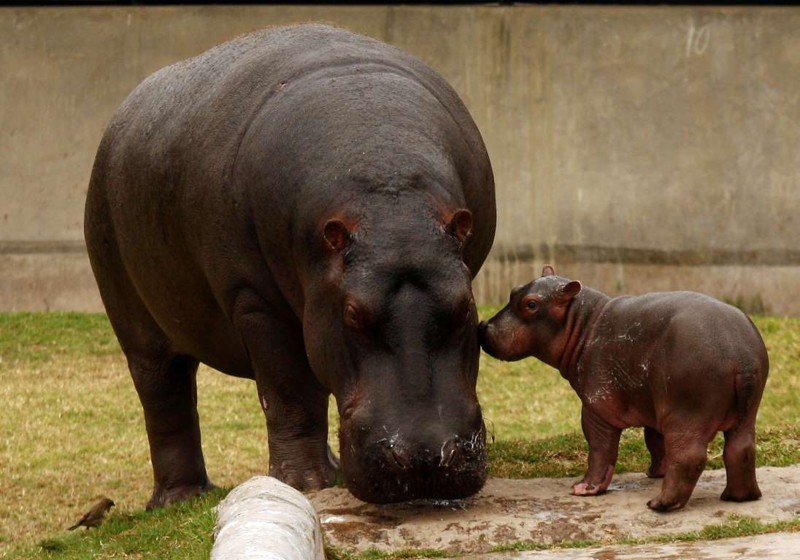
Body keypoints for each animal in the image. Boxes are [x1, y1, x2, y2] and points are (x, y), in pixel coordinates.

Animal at [83, 24, 494, 508]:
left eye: (466, 306)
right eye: (352, 314)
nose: (425, 459)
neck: (388, 192)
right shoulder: (256, 301)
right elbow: (288, 391)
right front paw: (303, 483)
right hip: (133, 318)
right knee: (165, 397)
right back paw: (180, 499)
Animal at [482, 266, 768, 512]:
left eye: (531, 304)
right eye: (513, 290)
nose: (483, 326)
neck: (582, 323)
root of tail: (739, 353)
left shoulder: (597, 407)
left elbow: (600, 449)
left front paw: (583, 488)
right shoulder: (653, 406)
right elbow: (654, 441)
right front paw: (655, 473)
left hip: (687, 413)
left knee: (689, 456)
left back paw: (659, 505)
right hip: (743, 413)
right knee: (741, 449)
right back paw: (738, 497)